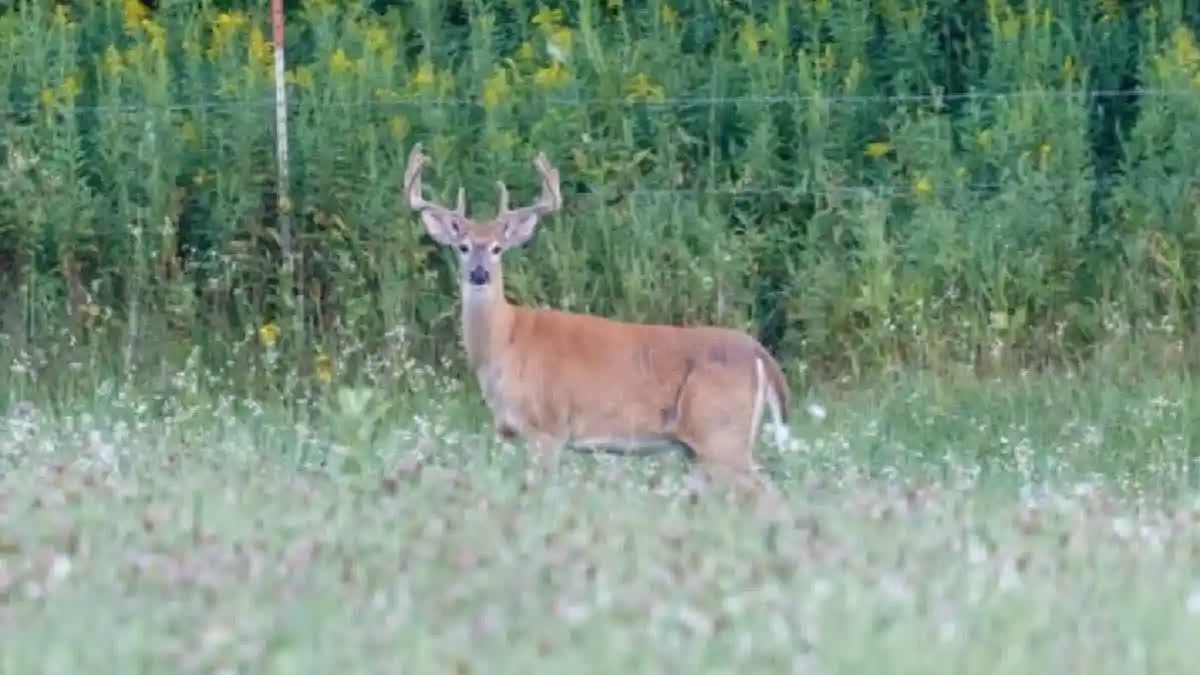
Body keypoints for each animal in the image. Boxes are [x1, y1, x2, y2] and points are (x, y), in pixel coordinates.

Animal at [408, 142, 792, 494]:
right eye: (462, 246)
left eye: (497, 249)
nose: (479, 273)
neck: (506, 341)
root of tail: (760, 355)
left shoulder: (548, 427)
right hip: (700, 449)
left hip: (721, 434)